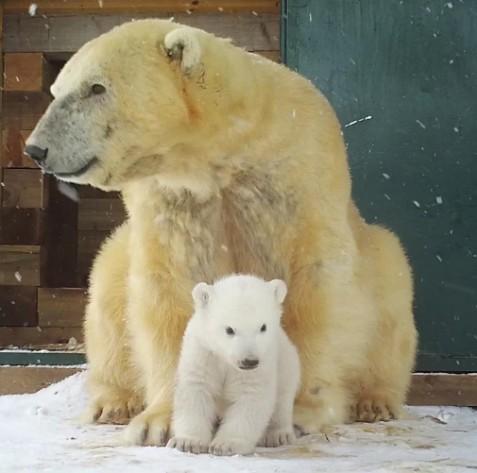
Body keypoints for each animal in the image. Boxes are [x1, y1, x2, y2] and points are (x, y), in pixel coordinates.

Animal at [24, 19, 414, 446]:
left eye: (96, 87)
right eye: (57, 90)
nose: (36, 149)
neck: (223, 153)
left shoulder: (299, 179)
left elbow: (315, 288)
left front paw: (298, 411)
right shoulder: (173, 201)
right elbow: (169, 290)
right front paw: (158, 421)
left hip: (381, 260)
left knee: (391, 297)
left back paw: (375, 401)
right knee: (108, 287)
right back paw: (114, 403)